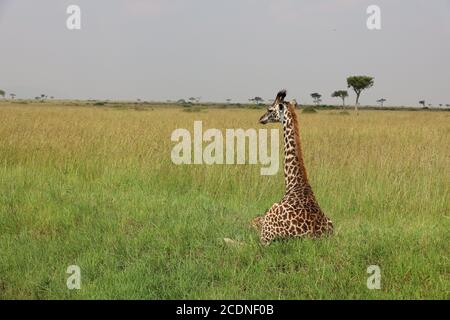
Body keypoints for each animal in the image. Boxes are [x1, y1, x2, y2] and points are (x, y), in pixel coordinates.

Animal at [253, 90, 334, 245]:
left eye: (269, 109)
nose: (261, 119)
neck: (294, 183)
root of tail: (314, 237)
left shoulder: (263, 239)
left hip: (268, 228)